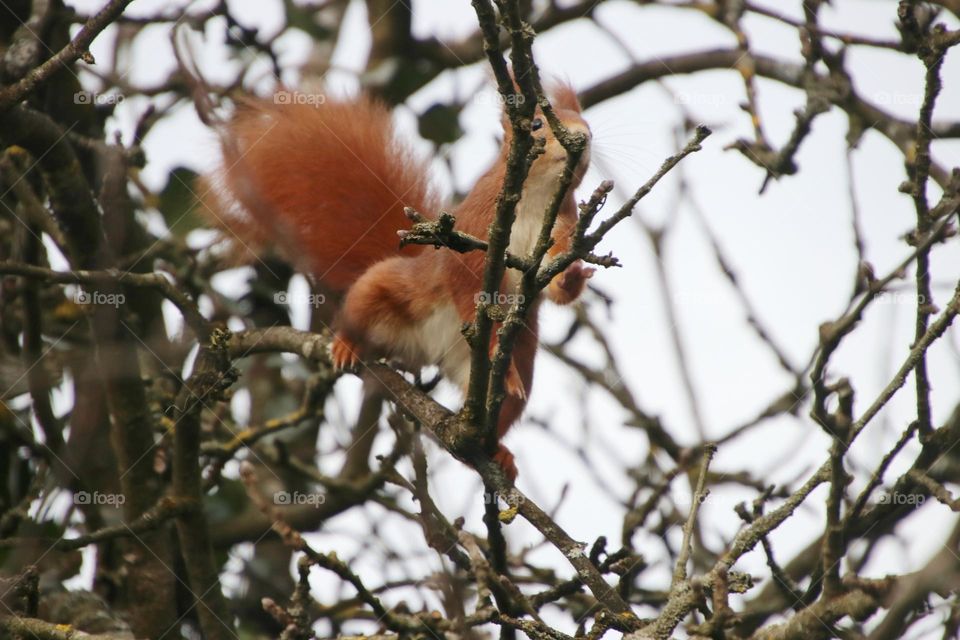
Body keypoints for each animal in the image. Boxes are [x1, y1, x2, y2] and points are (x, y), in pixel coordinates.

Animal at [206, 84, 588, 480]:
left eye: (587, 122)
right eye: (538, 123)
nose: (584, 139)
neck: (536, 198)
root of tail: (429, 351)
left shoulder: (561, 229)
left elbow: (557, 283)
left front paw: (572, 277)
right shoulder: (477, 229)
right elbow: (467, 280)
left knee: (506, 405)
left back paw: (494, 449)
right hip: (387, 288)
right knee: (360, 309)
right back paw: (347, 344)